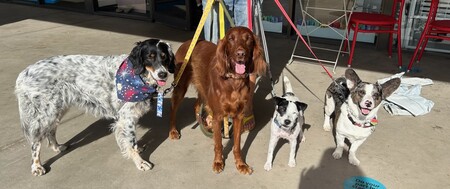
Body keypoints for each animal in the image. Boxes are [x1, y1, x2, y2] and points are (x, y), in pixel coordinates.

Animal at [14, 38, 176, 176]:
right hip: (46, 112)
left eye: (164, 57)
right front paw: (140, 162)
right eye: (150, 56)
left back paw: (57, 147)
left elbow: (130, 140)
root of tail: (24, 73)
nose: (163, 74)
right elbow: (130, 141)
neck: (138, 77)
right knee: (36, 140)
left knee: (50, 131)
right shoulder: (126, 117)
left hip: (57, 109)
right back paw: (36, 166)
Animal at [169, 26, 268, 174]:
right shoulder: (218, 115)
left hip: (202, 89)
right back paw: (173, 131)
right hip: (180, 87)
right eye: (231, 39)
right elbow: (219, 143)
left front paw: (241, 164)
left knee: (197, 105)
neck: (233, 80)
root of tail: (187, 42)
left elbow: (237, 145)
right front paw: (218, 162)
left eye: (248, 39)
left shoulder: (239, 116)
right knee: (173, 109)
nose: (240, 54)